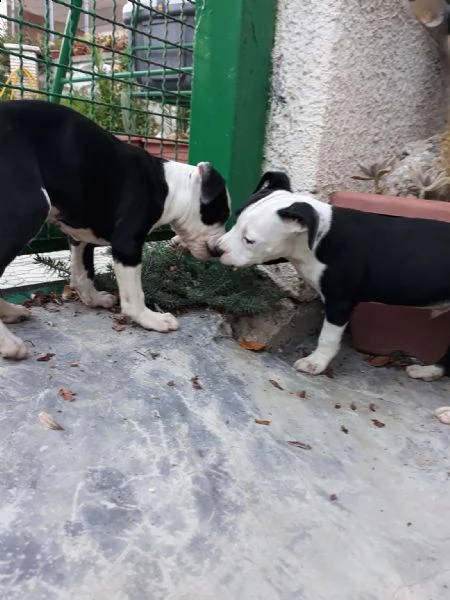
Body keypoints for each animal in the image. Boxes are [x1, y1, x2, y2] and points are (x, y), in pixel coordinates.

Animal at [0, 101, 230, 358]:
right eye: (222, 214)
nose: (219, 251)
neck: (171, 186)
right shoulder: (127, 242)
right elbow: (133, 292)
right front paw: (150, 318)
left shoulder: (81, 233)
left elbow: (83, 271)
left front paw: (94, 299)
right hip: (28, 209)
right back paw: (7, 343)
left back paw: (9, 312)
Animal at [213, 171, 450, 382]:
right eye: (236, 219)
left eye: (249, 240)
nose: (216, 249)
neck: (319, 237)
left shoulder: (340, 301)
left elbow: (328, 336)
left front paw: (316, 363)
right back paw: (429, 371)